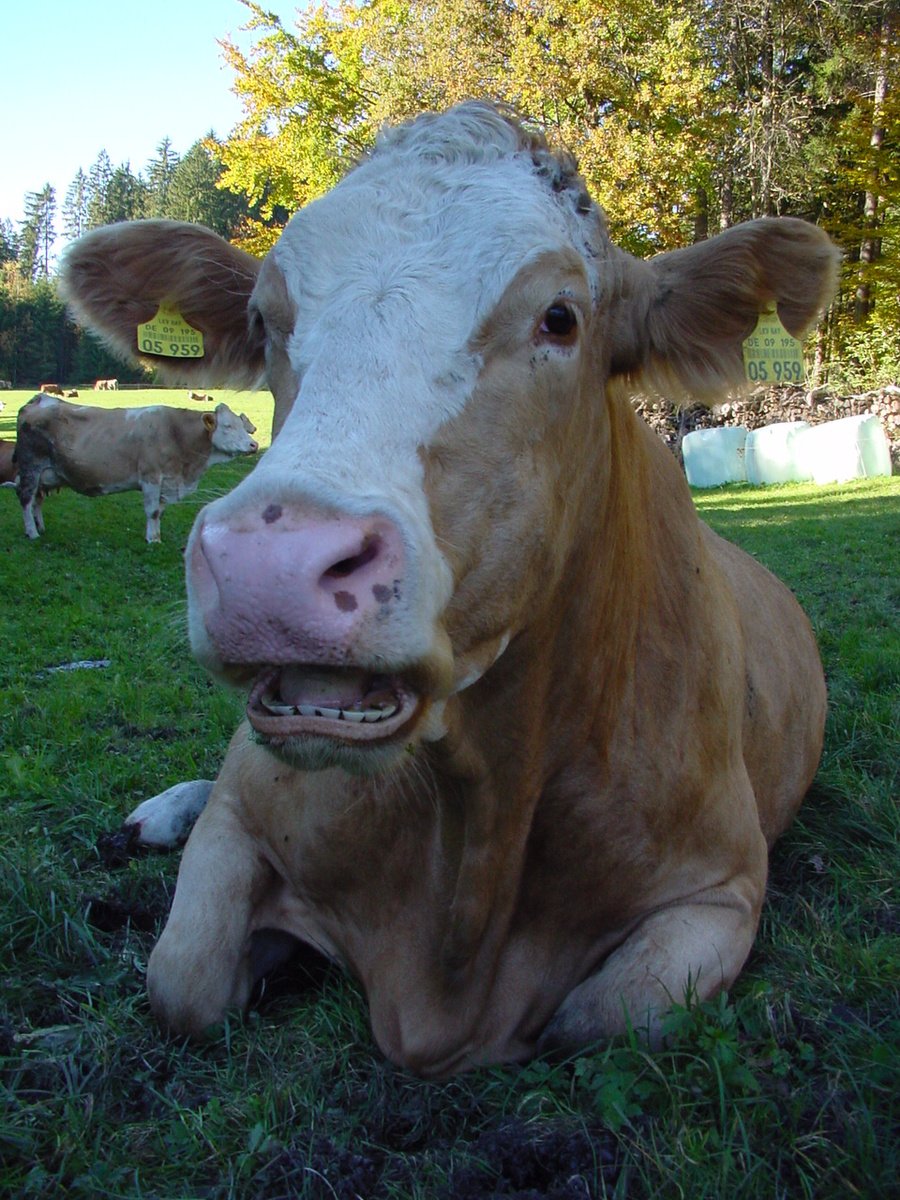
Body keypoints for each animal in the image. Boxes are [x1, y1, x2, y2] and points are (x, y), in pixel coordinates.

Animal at [15, 393, 259, 544]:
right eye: (227, 426)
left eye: (242, 425)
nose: (254, 445)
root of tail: (40, 398)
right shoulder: (151, 477)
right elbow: (152, 511)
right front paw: (153, 540)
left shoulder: (166, 482)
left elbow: (159, 511)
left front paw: (156, 534)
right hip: (30, 467)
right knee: (26, 499)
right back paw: (32, 532)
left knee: (37, 500)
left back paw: (39, 527)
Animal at [58, 105, 840, 1080]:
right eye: (263, 319)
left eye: (560, 318)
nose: (273, 563)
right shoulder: (246, 819)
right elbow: (182, 982)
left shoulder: (722, 886)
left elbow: (607, 1019)